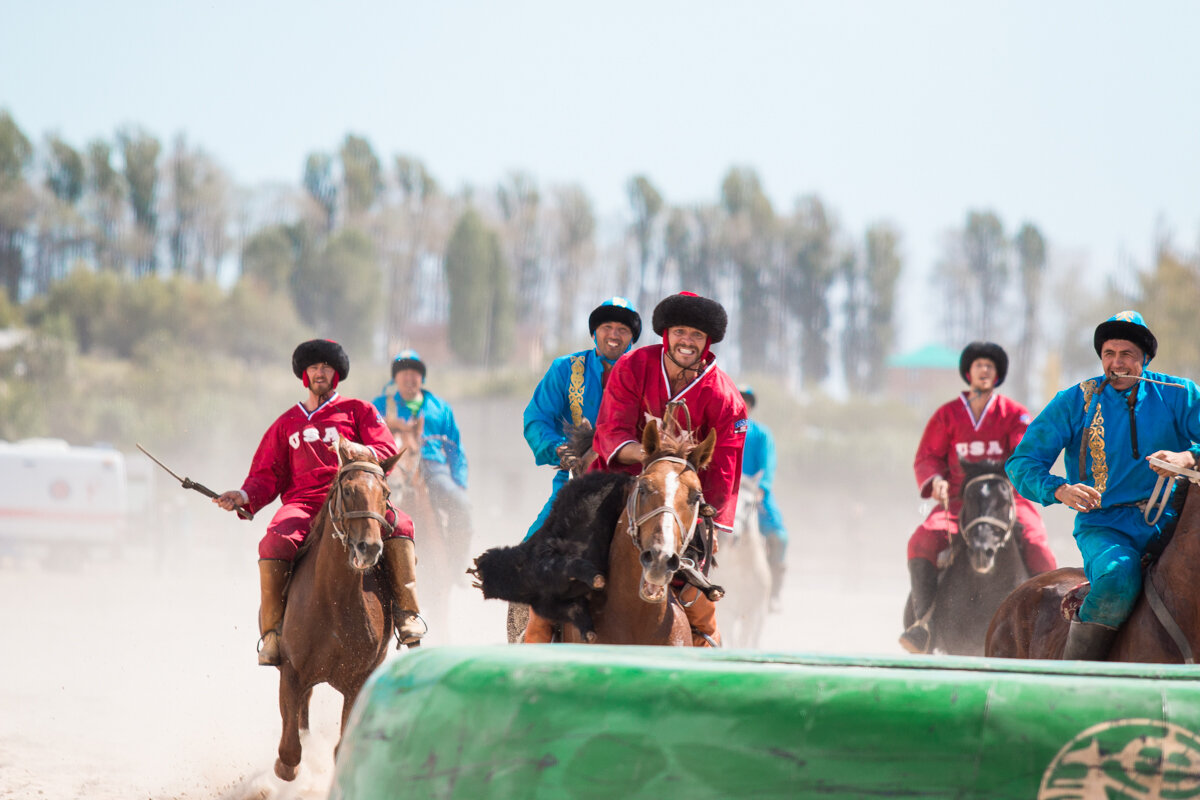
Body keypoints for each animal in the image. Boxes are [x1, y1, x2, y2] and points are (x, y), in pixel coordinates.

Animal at [272, 438, 403, 782]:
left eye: (385, 492)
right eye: (348, 490)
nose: (369, 547)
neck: (334, 601)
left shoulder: (358, 681)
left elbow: (340, 747)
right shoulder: (291, 672)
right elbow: (289, 756)